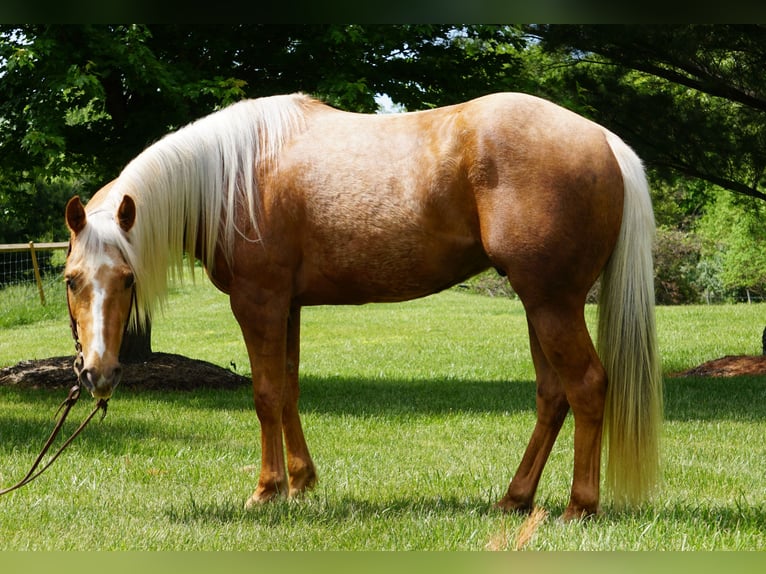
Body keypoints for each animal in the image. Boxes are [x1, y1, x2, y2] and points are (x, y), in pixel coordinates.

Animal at [64, 92, 662, 520]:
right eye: (72, 281)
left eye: (126, 279)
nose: (98, 372)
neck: (233, 177)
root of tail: (603, 140)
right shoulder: (287, 305)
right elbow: (288, 389)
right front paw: (301, 483)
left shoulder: (258, 301)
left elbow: (265, 394)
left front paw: (267, 491)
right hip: (540, 303)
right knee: (553, 396)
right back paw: (515, 500)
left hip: (552, 303)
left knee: (587, 386)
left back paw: (579, 506)